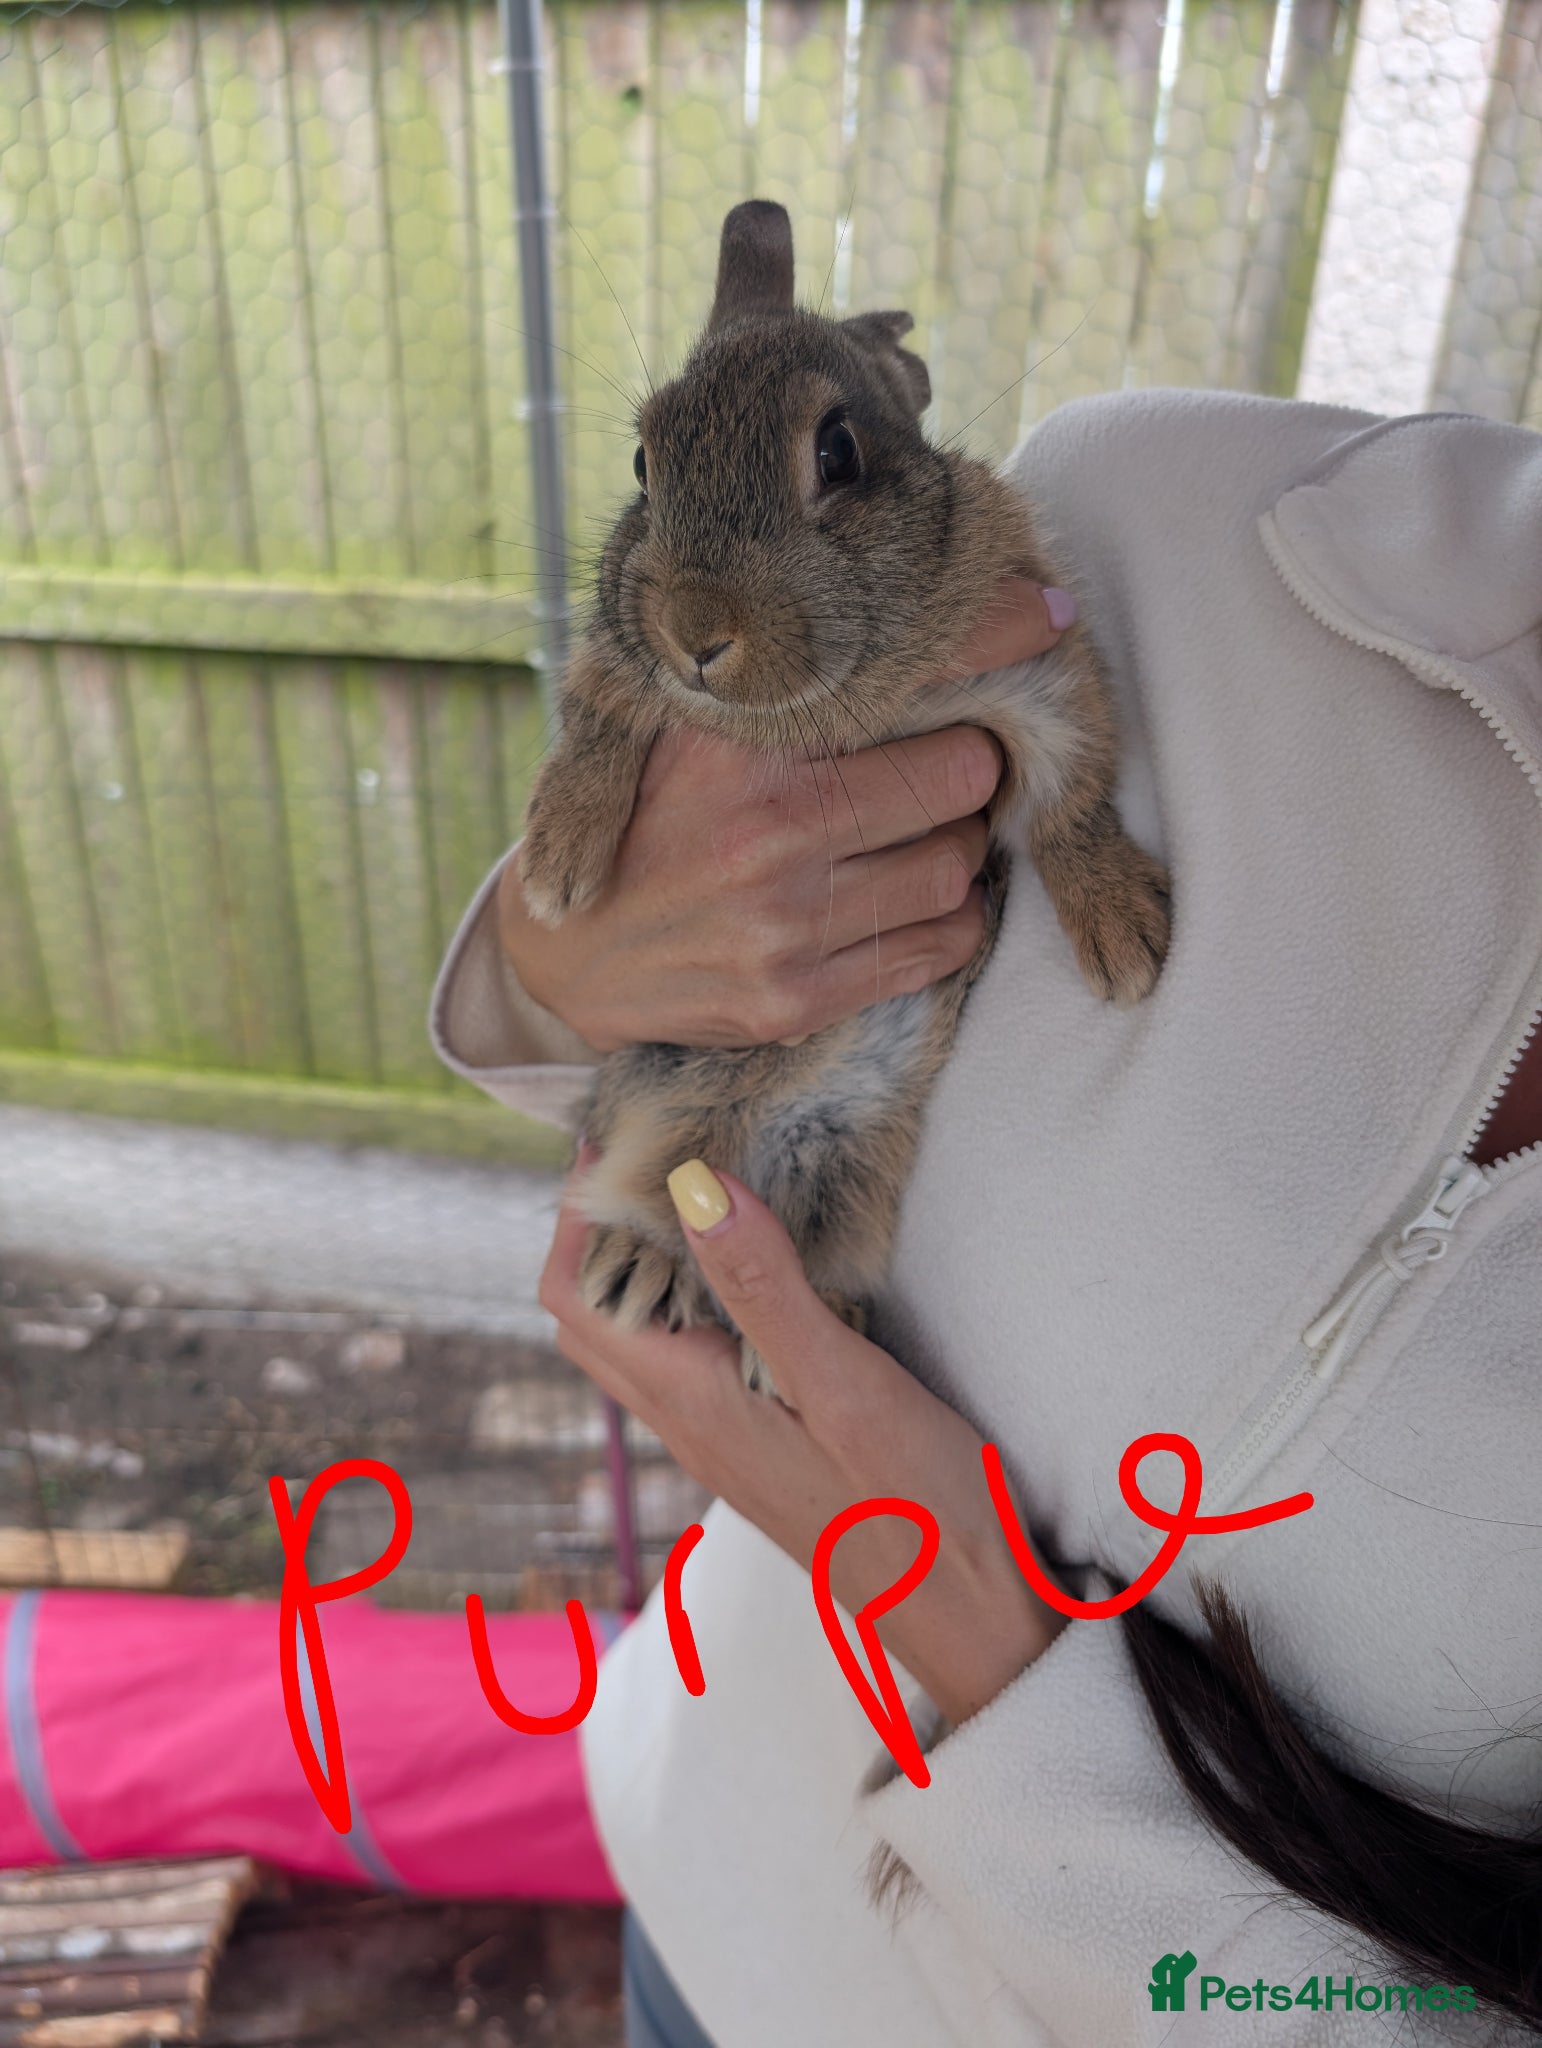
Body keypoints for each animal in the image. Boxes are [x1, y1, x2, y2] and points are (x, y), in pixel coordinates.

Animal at [518, 199, 1169, 1398]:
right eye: (643, 460)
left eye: (838, 452)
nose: (696, 632)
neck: (806, 707)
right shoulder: (624, 664)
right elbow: (594, 728)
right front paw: (559, 870)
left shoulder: (1042, 683)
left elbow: (1072, 798)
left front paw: (1124, 940)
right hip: (668, 1107)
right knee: (650, 1180)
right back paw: (641, 1266)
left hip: (851, 1160)